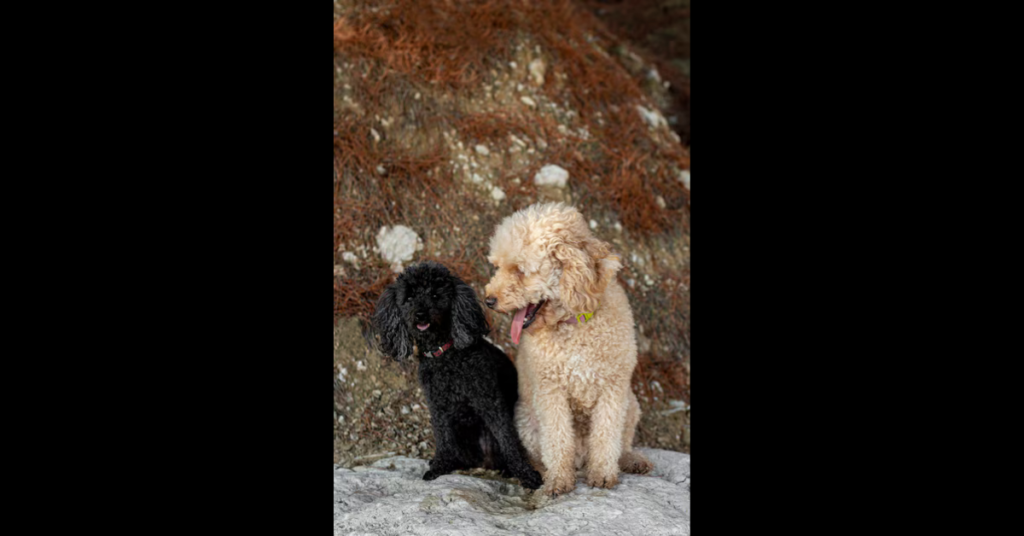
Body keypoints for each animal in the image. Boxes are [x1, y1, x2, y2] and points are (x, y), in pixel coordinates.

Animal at [370, 261, 540, 489]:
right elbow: (443, 438)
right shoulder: (438, 406)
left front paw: (525, 473)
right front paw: (439, 466)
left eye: (435, 295)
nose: (420, 315)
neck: (444, 354)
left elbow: (507, 438)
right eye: (409, 297)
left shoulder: (490, 401)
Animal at [483, 203, 651, 498]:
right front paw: (559, 480)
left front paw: (603, 474)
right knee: (541, 454)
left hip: (631, 404)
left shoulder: (613, 388)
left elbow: (607, 434)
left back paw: (630, 460)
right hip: (526, 419)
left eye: (520, 270)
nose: (489, 299)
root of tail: (582, 458)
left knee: (622, 443)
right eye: (498, 267)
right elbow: (558, 438)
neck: (573, 324)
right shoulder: (551, 391)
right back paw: (542, 473)